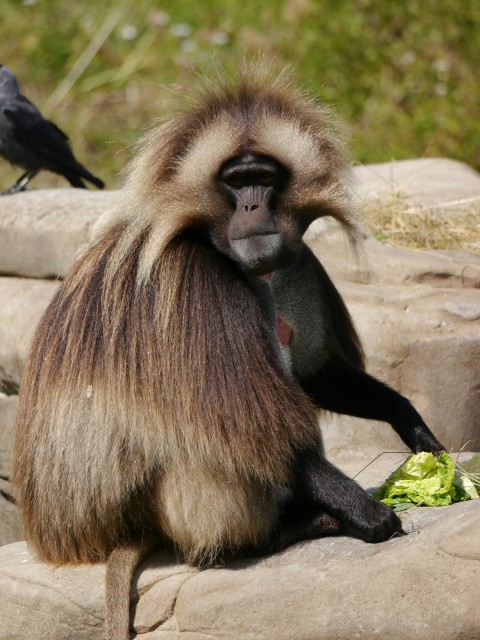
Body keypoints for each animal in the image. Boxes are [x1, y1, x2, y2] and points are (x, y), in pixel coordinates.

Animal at [13, 65, 444, 640]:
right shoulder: (196, 284)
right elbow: (256, 428)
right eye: (235, 182)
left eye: (265, 176)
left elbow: (317, 375)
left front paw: (415, 429)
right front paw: (371, 513)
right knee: (210, 438)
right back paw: (274, 534)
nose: (252, 206)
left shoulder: (300, 266)